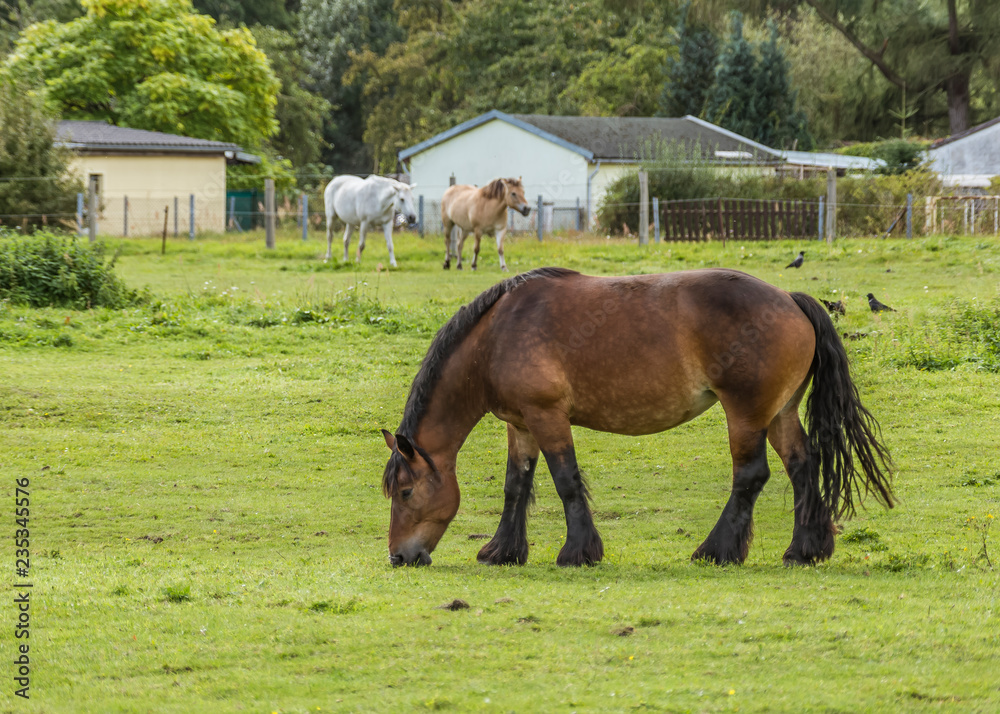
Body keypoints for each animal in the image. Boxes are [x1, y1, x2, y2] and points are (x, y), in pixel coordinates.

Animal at [380, 268, 894, 568]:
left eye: (405, 492)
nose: (400, 557)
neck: (497, 335)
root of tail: (790, 299)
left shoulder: (547, 416)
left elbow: (566, 480)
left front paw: (578, 552)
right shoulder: (521, 423)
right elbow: (516, 485)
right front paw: (502, 551)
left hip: (746, 415)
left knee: (751, 476)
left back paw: (716, 551)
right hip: (781, 414)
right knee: (802, 467)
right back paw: (804, 550)